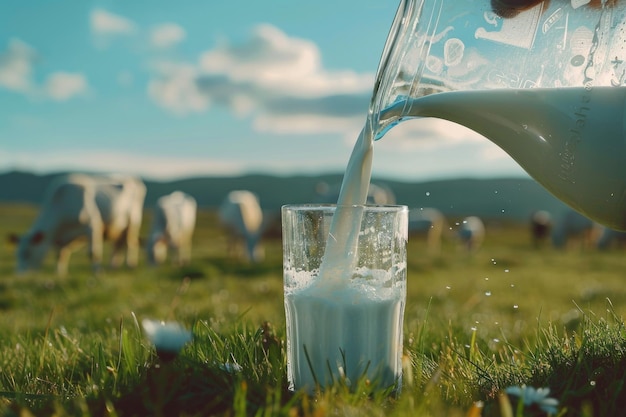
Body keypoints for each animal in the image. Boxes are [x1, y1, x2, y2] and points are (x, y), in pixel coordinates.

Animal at [9, 173, 146, 276]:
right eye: (17, 254)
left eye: (27, 253)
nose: (20, 276)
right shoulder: (62, 239)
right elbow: (60, 255)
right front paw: (60, 274)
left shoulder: (92, 225)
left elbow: (93, 253)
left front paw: (97, 273)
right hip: (118, 227)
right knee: (118, 245)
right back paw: (113, 266)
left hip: (133, 221)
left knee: (130, 243)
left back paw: (130, 265)